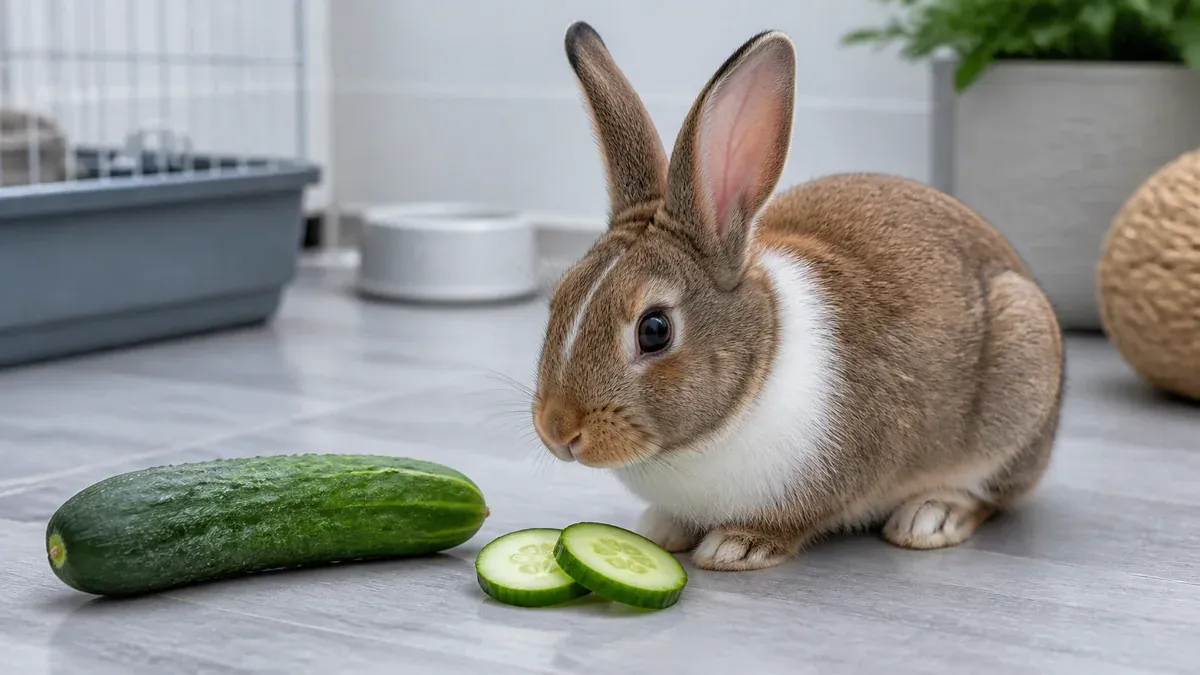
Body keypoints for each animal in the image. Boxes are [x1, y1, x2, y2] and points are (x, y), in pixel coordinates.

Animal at [531, 22, 1064, 571]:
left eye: (654, 330)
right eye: (560, 299)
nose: (558, 430)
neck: (757, 372)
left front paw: (736, 546)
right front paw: (661, 530)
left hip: (1015, 393)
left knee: (993, 494)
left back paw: (930, 517)